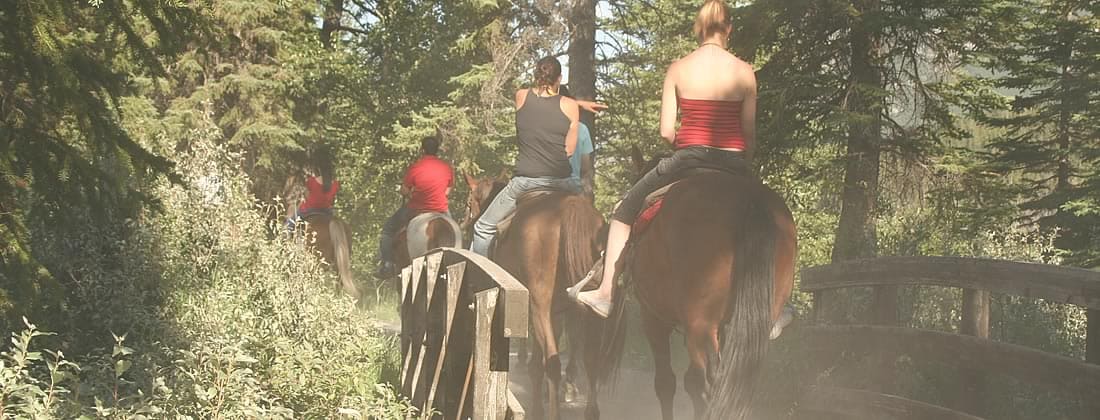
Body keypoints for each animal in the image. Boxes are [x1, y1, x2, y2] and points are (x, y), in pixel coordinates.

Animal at [459, 172, 607, 420]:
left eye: (470, 202)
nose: (464, 225)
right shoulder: (555, 313)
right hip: (586, 308)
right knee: (591, 359)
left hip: (540, 307)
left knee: (553, 363)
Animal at [598, 156, 796, 420]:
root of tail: (749, 199)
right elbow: (690, 381)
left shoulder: (653, 317)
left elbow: (665, 382)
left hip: (700, 324)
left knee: (711, 387)